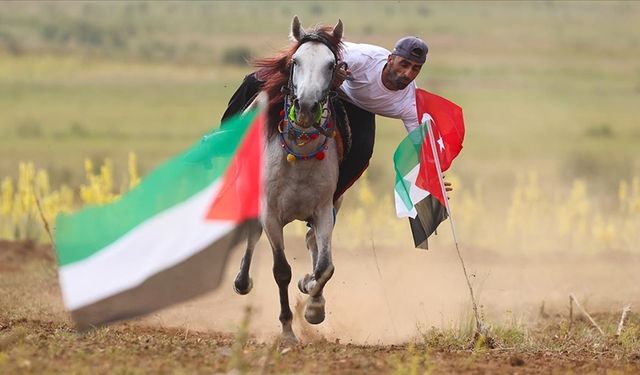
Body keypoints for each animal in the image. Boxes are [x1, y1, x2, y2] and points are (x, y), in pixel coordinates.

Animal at [234, 17, 344, 346]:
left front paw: (313, 306)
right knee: (252, 234)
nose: (306, 107)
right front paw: (286, 331)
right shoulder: (270, 212)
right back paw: (242, 281)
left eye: (331, 65)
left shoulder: (323, 210)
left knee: (312, 244)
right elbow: (281, 270)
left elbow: (325, 267)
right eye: (295, 61)